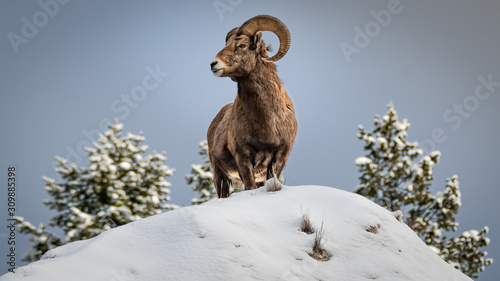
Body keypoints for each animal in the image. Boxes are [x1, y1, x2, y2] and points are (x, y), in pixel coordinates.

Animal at [207, 14, 296, 197]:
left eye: (242, 45)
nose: (214, 64)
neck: (267, 121)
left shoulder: (279, 157)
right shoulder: (244, 157)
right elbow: (250, 186)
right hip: (219, 175)